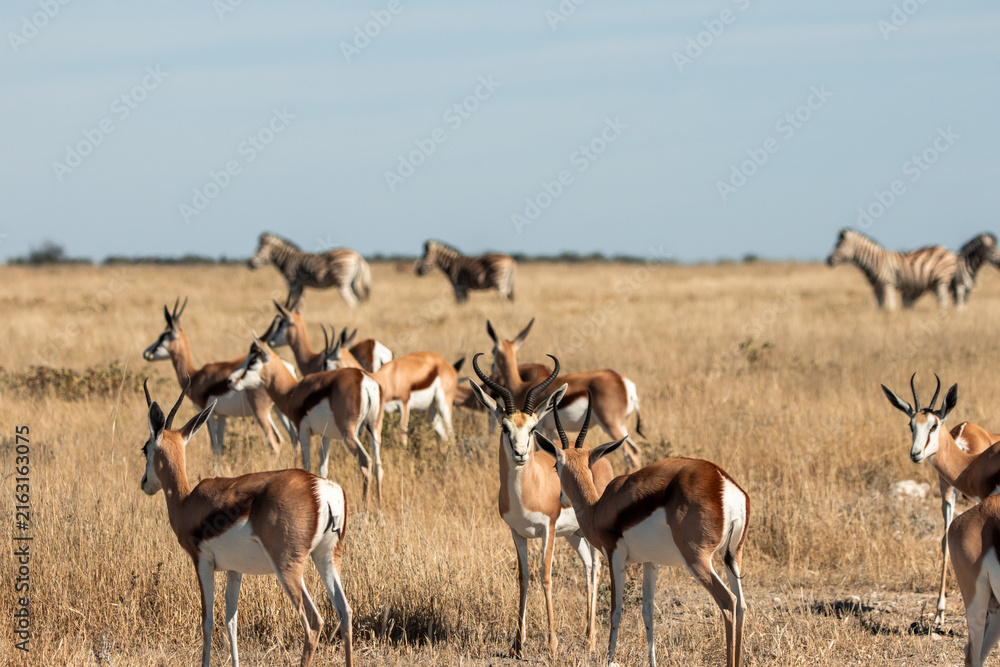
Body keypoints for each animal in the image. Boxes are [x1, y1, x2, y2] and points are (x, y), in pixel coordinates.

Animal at [826, 228, 957, 310]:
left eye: (838, 246)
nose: (828, 260)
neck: (874, 261)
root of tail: (949, 251)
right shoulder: (876, 288)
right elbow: (880, 307)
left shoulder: (888, 284)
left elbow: (890, 307)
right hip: (934, 283)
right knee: (941, 301)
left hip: (942, 279)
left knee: (944, 301)